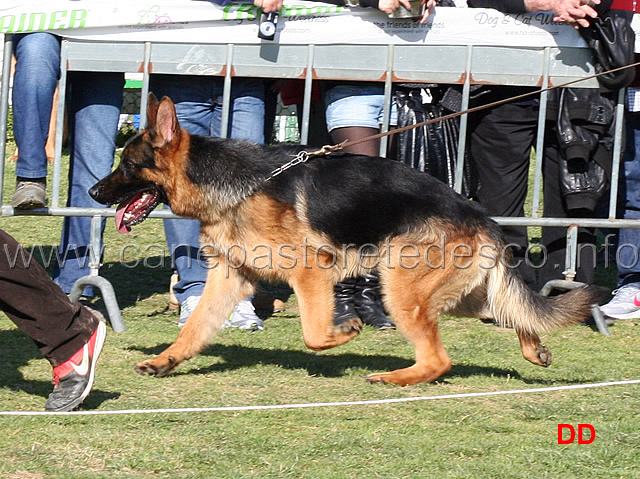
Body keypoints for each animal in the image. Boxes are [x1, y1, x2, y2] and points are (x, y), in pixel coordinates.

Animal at [90, 94, 600, 386]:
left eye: (128, 165)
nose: (94, 193)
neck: (237, 184)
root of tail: (481, 217)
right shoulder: (231, 278)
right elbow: (195, 327)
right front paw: (165, 361)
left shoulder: (310, 272)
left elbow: (314, 334)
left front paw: (345, 330)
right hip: (451, 294)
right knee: (510, 310)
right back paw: (533, 348)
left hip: (402, 291)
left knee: (440, 359)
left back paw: (397, 377)